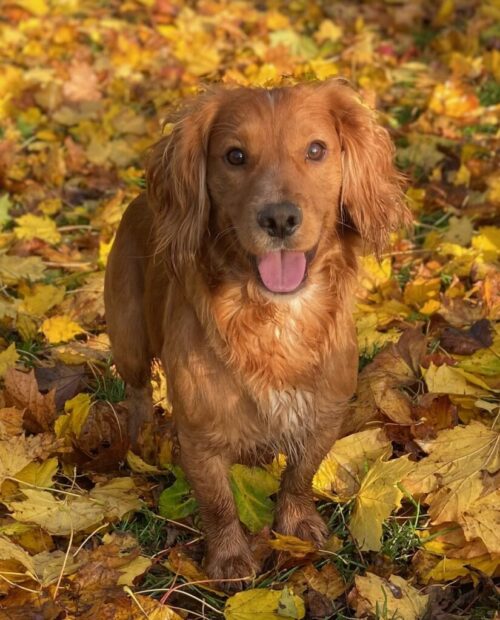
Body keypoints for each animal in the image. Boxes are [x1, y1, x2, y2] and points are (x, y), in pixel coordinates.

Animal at [105, 77, 410, 580]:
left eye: (316, 149)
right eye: (234, 156)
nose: (279, 218)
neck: (276, 317)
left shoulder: (324, 413)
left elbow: (299, 475)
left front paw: (297, 523)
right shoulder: (199, 436)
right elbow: (218, 504)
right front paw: (229, 558)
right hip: (128, 340)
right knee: (138, 391)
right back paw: (141, 435)